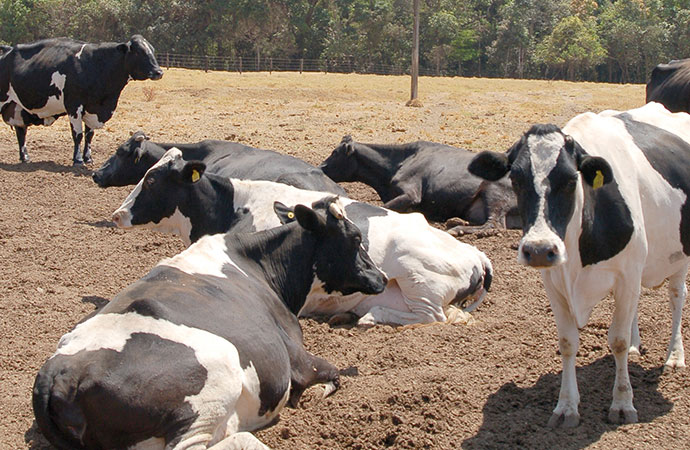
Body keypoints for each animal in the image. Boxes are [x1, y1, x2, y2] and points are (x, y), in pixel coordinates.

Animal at [0, 35, 163, 164]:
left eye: (152, 50)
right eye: (138, 51)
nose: (158, 71)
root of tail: (7, 49)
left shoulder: (92, 108)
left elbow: (89, 135)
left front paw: (88, 158)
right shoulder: (74, 106)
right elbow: (77, 135)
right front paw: (78, 159)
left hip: (17, 107)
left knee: (21, 132)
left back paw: (25, 157)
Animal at [33, 197, 387, 449]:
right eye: (356, 238)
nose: (382, 277)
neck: (258, 263)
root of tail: (60, 373)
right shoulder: (297, 357)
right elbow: (332, 372)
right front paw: (314, 394)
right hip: (213, 383)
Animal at [110, 148, 494, 326]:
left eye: (151, 180)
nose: (117, 214)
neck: (233, 206)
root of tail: (477, 254)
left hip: (418, 277)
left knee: (432, 316)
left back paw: (370, 317)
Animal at [318, 136, 520, 235]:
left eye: (335, 152)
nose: (320, 166)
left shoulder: (411, 194)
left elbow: (383, 207)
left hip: (493, 193)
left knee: (494, 225)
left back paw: (458, 229)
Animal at [467, 102, 689, 427]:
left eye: (572, 180)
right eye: (516, 181)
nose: (539, 249)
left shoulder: (627, 275)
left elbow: (617, 339)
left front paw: (622, 403)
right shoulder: (554, 282)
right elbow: (568, 342)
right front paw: (566, 406)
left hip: (680, 257)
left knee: (676, 297)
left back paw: (674, 356)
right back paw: (637, 346)